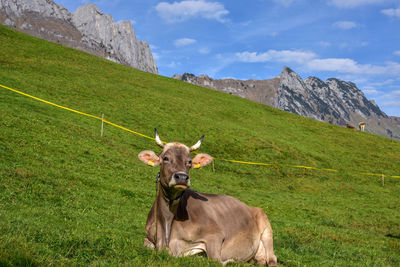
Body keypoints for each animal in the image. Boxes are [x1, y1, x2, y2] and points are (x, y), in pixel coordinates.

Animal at [139, 130, 276, 266]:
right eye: (165, 158)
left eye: (189, 161)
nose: (182, 177)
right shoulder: (148, 238)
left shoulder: (216, 235)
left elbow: (215, 260)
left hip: (266, 229)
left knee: (272, 259)